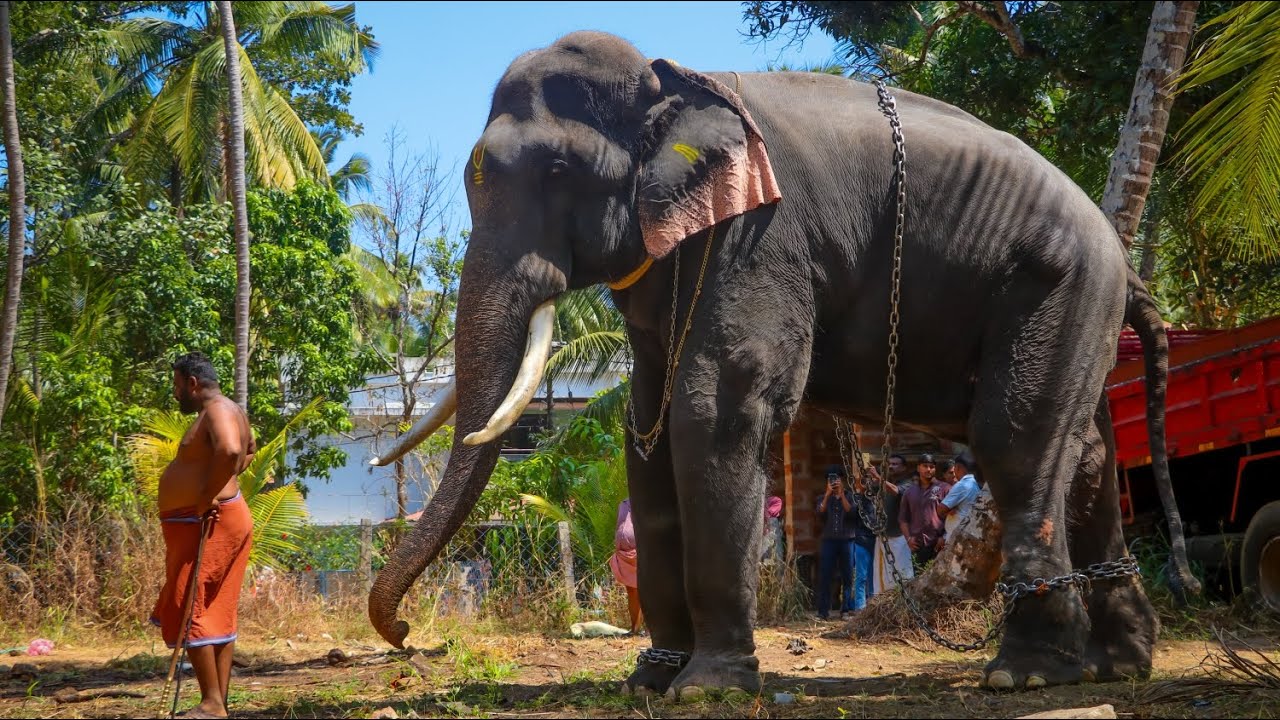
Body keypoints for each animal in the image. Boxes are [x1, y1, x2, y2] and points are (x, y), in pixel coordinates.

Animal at [366, 30, 1199, 697]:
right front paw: (649, 680)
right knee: (1083, 455)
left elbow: (718, 407)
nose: (406, 637)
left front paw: (707, 690)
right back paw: (1120, 665)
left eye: (561, 171)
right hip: (1075, 304)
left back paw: (1025, 676)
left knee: (1016, 441)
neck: (676, 81)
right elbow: (646, 428)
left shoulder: (761, 236)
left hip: (1059, 282)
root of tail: (1122, 257)